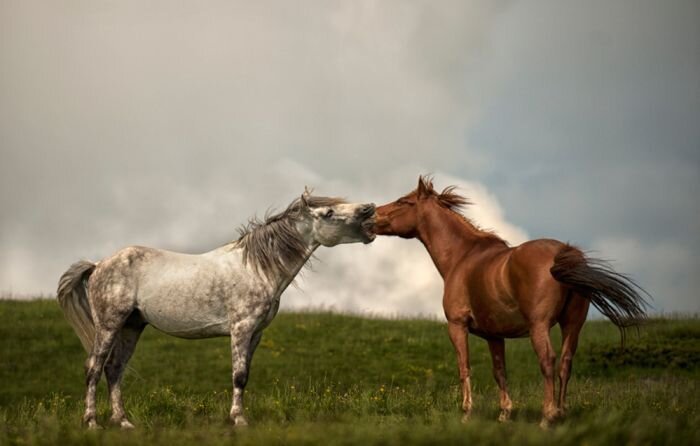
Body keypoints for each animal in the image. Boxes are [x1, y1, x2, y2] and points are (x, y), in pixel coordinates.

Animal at [56, 192, 374, 428]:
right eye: (328, 213)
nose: (368, 209)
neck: (257, 268)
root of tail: (98, 265)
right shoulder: (241, 328)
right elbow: (238, 375)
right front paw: (239, 420)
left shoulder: (256, 334)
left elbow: (245, 374)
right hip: (109, 325)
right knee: (94, 368)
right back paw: (92, 422)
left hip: (131, 327)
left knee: (114, 369)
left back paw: (123, 423)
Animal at [374, 176, 648, 426]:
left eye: (403, 202)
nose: (372, 214)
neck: (462, 258)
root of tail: (564, 253)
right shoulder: (495, 335)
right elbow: (499, 372)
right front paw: (505, 414)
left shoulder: (457, 325)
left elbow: (465, 367)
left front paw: (467, 413)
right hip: (572, 324)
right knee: (565, 364)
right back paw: (561, 413)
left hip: (539, 326)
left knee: (548, 361)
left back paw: (548, 417)